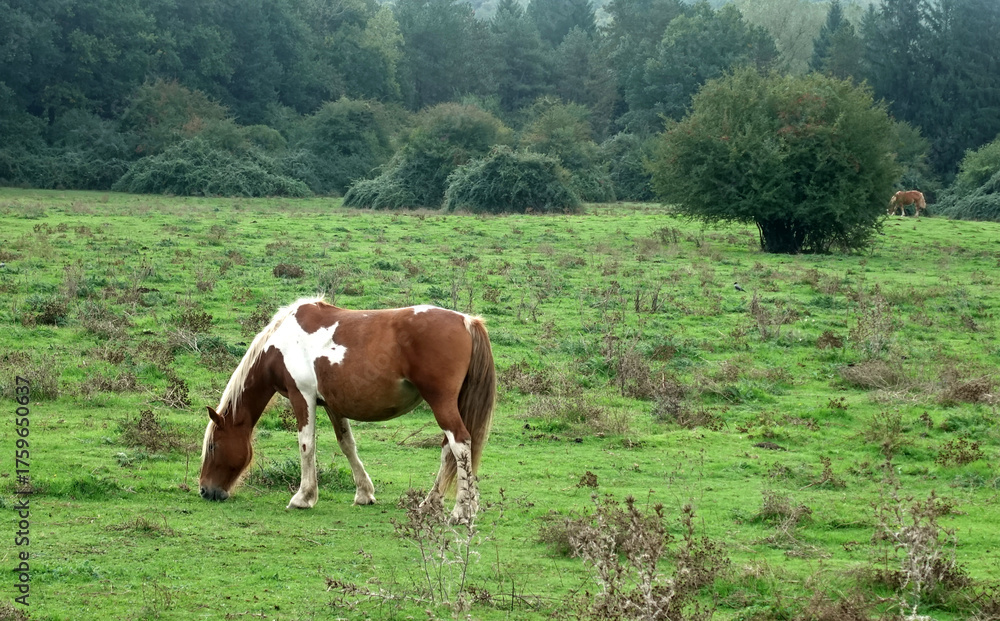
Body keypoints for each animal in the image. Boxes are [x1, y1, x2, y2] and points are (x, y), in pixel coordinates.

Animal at [199, 297, 496, 522]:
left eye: (213, 446)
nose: (204, 490)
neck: (283, 343)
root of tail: (467, 321)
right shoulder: (333, 404)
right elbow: (347, 444)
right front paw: (364, 493)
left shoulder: (302, 396)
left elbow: (306, 444)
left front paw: (303, 497)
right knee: (449, 449)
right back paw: (432, 504)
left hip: (441, 402)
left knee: (459, 444)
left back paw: (461, 512)